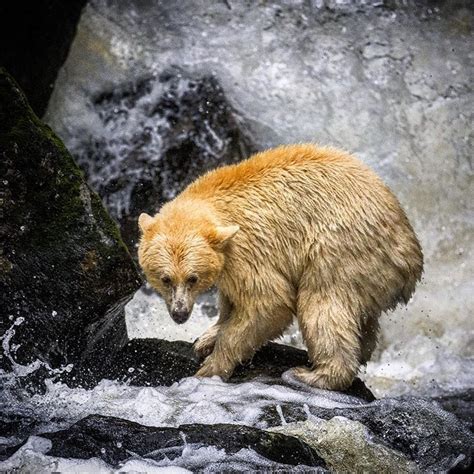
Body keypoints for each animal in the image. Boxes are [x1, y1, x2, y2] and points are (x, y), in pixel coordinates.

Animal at [137, 143, 422, 388]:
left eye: (192, 278)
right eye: (165, 278)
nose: (180, 314)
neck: (215, 201)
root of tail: (410, 255)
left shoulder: (248, 250)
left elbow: (268, 303)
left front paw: (210, 368)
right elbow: (231, 300)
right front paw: (206, 339)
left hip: (341, 250)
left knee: (323, 306)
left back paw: (312, 375)